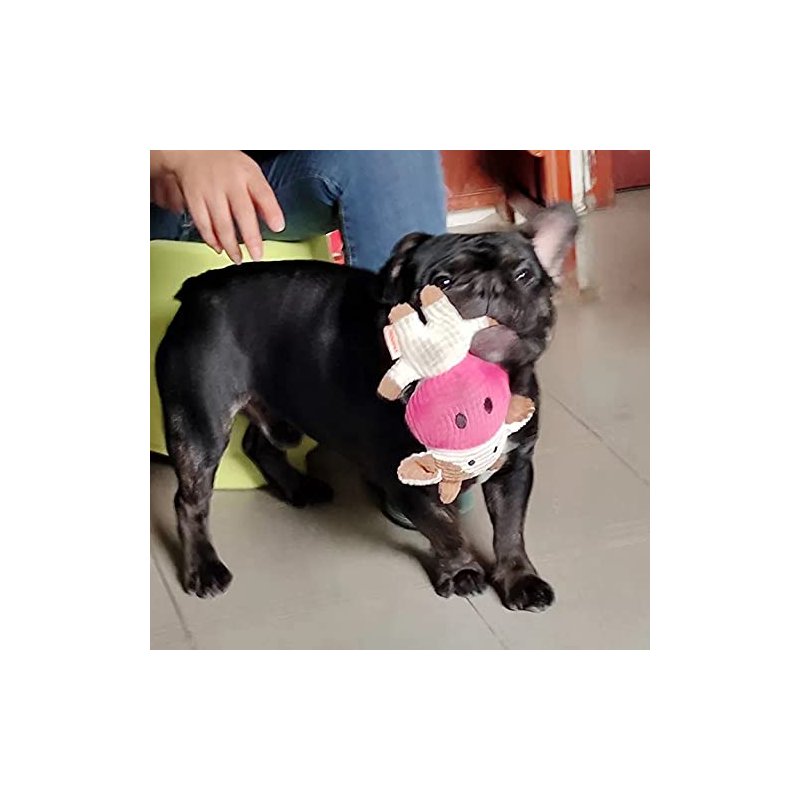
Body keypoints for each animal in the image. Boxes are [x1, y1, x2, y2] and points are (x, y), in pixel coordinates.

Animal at [155, 203, 578, 610]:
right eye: (441, 282)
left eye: (524, 275)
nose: (489, 285)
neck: (468, 388)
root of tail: (198, 287)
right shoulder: (404, 476)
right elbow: (443, 527)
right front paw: (460, 571)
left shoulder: (513, 467)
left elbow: (510, 530)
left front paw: (519, 578)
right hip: (200, 424)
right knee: (189, 500)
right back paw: (204, 569)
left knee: (259, 446)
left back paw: (300, 488)